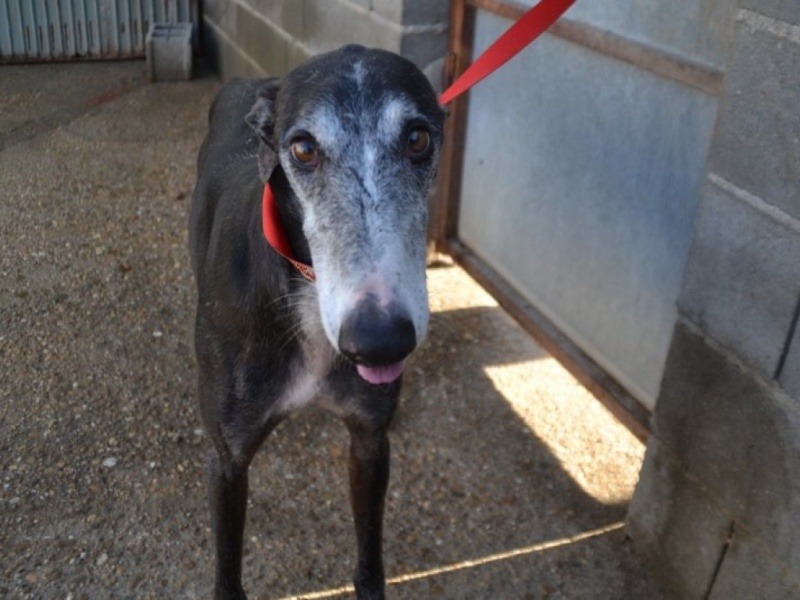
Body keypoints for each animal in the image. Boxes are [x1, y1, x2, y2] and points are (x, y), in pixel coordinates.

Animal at [191, 47, 446, 600]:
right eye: (304, 149)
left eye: (417, 138)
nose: (379, 340)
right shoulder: (227, 461)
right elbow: (227, 574)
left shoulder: (370, 441)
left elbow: (369, 563)